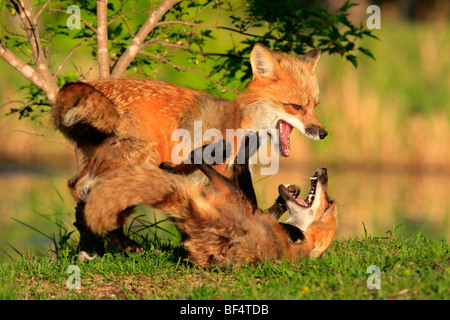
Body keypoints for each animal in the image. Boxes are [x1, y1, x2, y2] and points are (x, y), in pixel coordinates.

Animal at [51, 43, 326, 254]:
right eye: (295, 107)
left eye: (315, 106)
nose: (322, 133)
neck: (242, 124)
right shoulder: (217, 169)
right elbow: (241, 206)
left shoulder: (233, 170)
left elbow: (251, 205)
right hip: (141, 158)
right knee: (87, 192)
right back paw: (118, 243)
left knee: (79, 191)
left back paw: (92, 248)